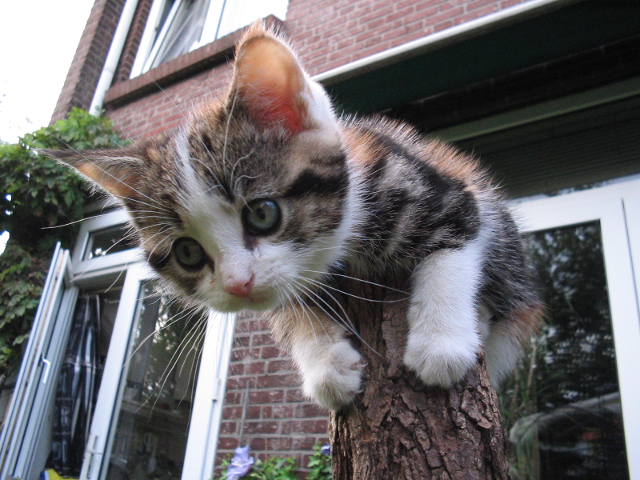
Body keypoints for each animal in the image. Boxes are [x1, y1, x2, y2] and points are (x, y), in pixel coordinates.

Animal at [46, 22, 541, 411]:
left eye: (263, 214)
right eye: (187, 253)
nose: (237, 284)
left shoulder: (446, 193)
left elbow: (455, 243)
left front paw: (441, 343)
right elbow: (291, 305)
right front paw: (326, 366)